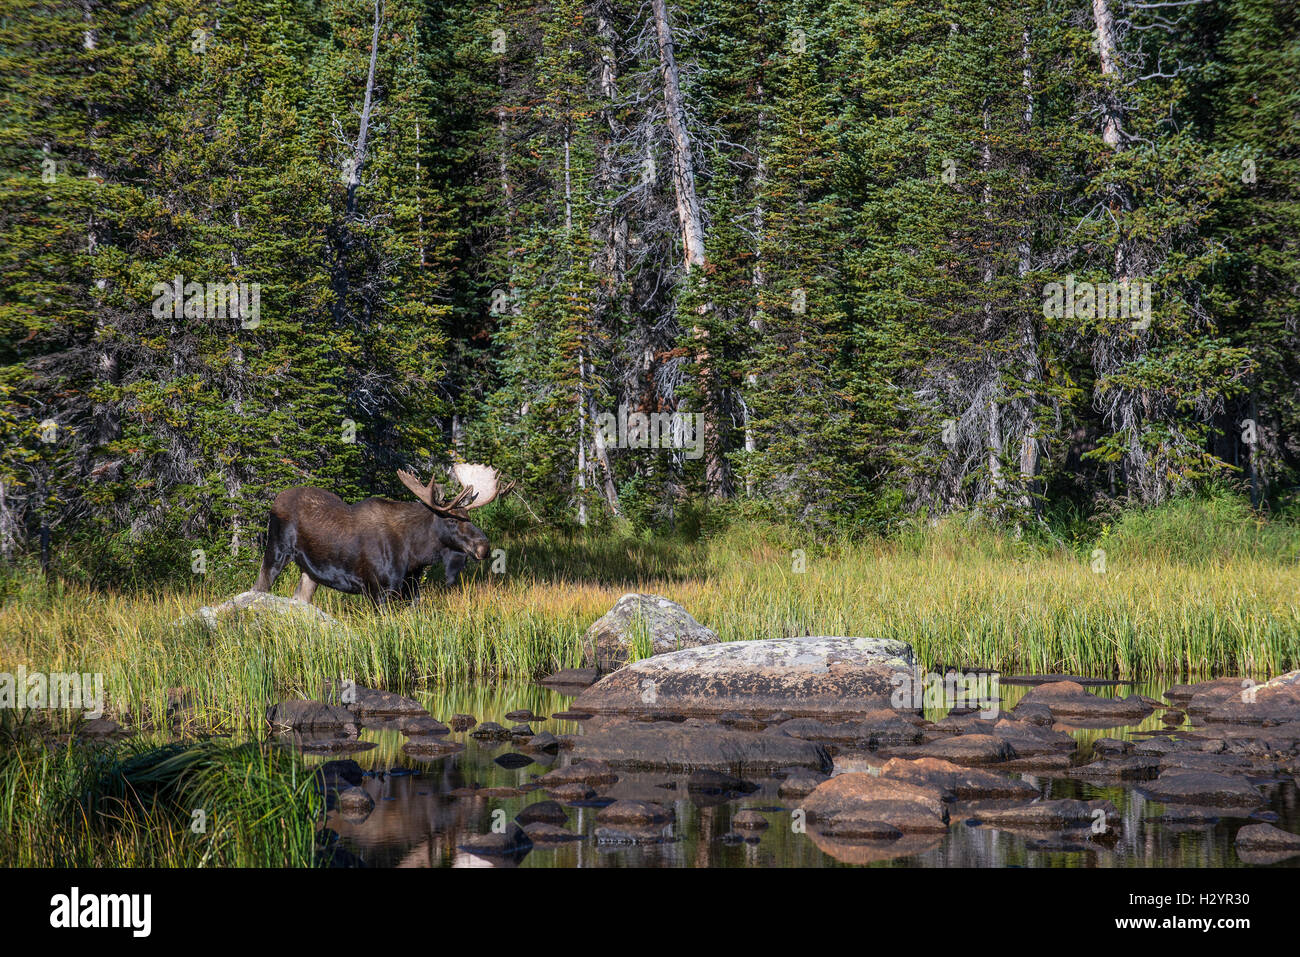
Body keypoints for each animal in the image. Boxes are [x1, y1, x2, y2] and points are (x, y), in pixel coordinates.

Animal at [250, 462, 514, 605]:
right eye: (450, 519)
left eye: (470, 518)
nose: (483, 546)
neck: (415, 555)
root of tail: (276, 499)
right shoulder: (378, 590)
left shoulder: (411, 589)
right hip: (276, 550)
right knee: (258, 587)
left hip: (311, 571)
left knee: (300, 597)